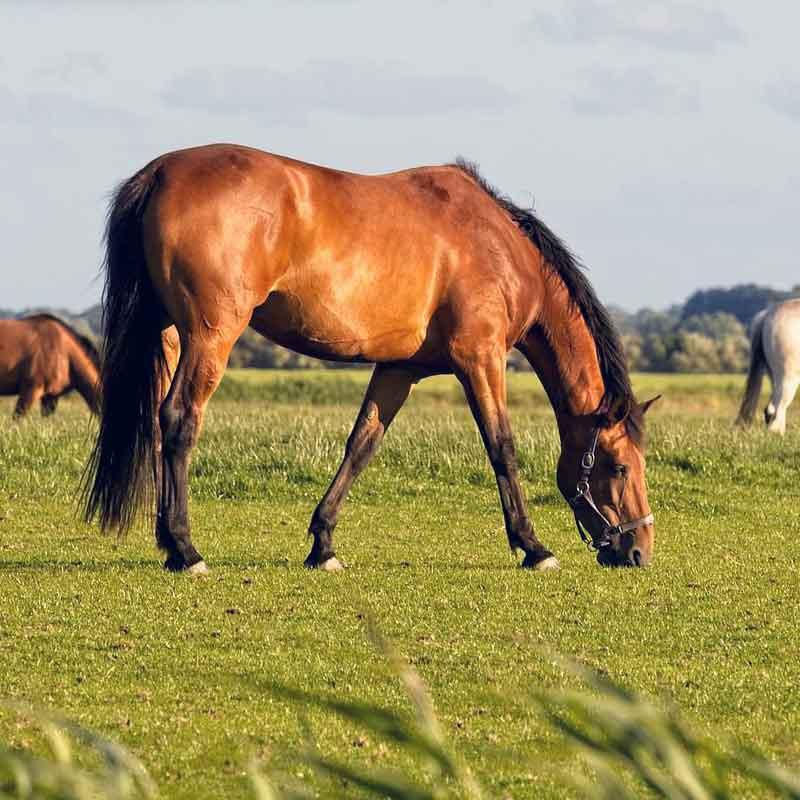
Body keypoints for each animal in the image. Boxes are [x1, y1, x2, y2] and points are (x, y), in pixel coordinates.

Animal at [83, 145, 656, 576]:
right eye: (620, 466)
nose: (637, 551)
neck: (498, 246)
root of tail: (161, 172)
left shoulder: (399, 369)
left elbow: (361, 446)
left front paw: (323, 545)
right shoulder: (481, 359)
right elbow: (502, 448)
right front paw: (533, 548)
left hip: (167, 336)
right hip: (210, 337)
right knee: (180, 420)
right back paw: (185, 550)